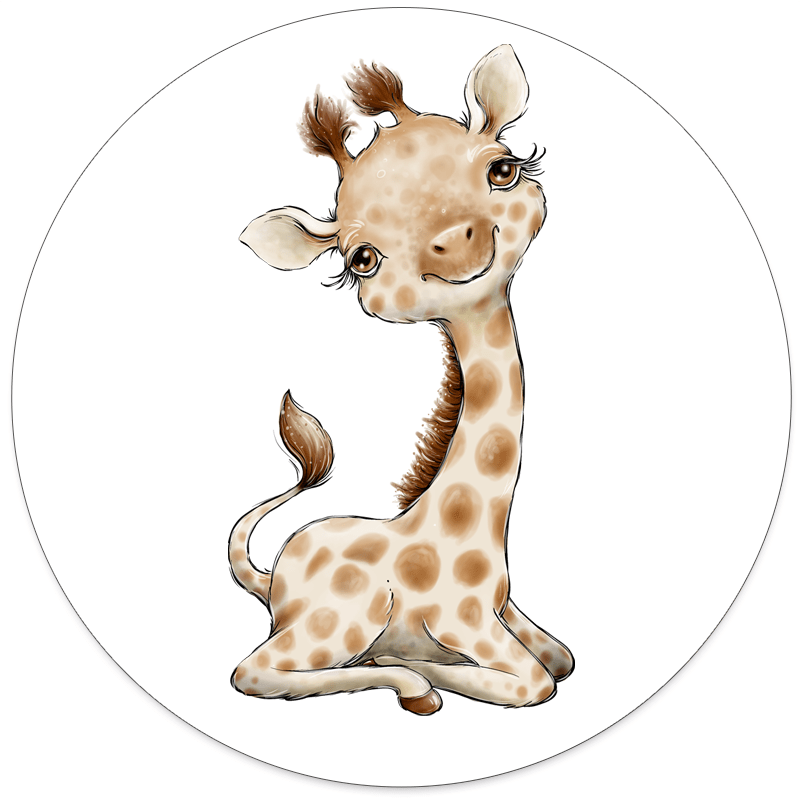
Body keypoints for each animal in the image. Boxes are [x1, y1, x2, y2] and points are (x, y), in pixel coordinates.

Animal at [229, 45, 573, 715]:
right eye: (361, 259)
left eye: (503, 169)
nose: (456, 244)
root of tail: (274, 580)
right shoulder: (470, 623)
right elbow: (537, 684)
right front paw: (425, 671)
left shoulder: (509, 613)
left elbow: (562, 659)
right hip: (345, 617)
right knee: (251, 671)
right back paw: (409, 682)